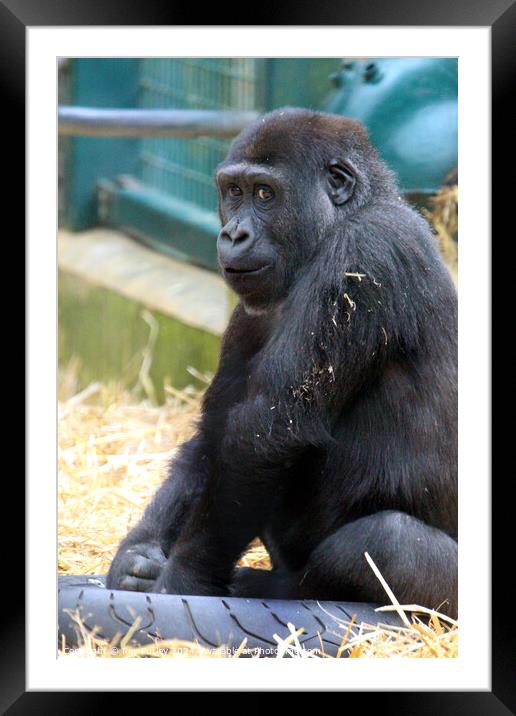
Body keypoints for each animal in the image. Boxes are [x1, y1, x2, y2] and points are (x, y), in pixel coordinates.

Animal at [107, 109, 458, 620]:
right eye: (234, 191)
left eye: (265, 194)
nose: (233, 234)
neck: (345, 216)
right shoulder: (248, 309)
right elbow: (214, 436)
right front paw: (138, 554)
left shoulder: (364, 251)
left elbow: (267, 430)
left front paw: (183, 580)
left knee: (387, 541)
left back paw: (270, 586)